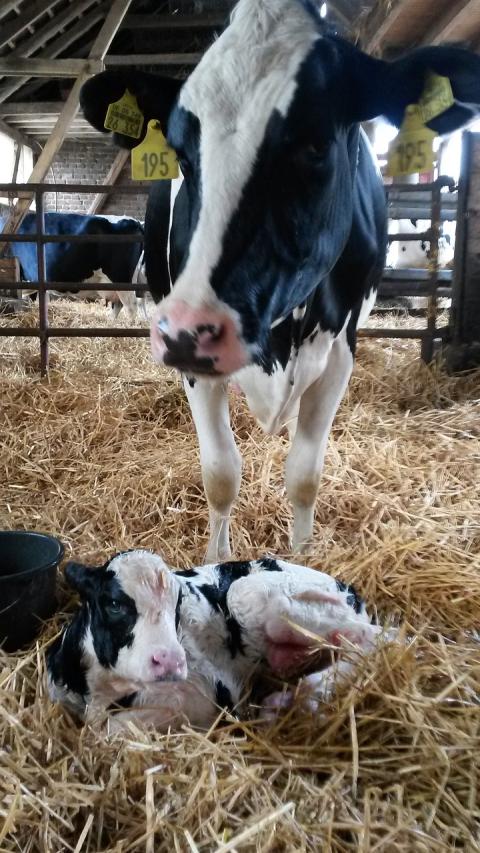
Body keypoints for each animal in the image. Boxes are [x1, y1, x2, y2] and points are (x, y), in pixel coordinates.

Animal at [47, 552, 380, 732]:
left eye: (177, 606)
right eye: (114, 603)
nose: (170, 661)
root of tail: (350, 589)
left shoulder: (204, 699)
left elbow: (112, 731)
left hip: (250, 594)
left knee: (376, 639)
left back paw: (298, 697)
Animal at [79, 0, 480, 560]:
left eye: (315, 144)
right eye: (181, 152)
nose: (188, 330)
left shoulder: (339, 354)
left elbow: (304, 476)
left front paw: (303, 559)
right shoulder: (194, 365)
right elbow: (221, 474)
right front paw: (215, 560)